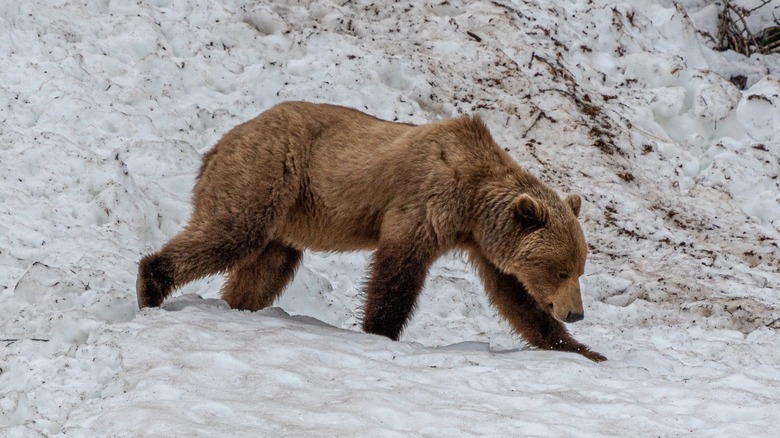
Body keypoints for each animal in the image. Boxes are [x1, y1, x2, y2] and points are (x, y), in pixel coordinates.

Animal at [137, 101, 608, 362]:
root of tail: (219, 144)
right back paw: (151, 284)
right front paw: (381, 331)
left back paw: (237, 306)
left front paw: (582, 350)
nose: (576, 313)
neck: (473, 200)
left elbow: (516, 298)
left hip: (287, 218)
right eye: (561, 269)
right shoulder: (424, 203)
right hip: (268, 172)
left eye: (579, 268)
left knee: (264, 269)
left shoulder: (486, 243)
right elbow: (397, 272)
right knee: (230, 232)